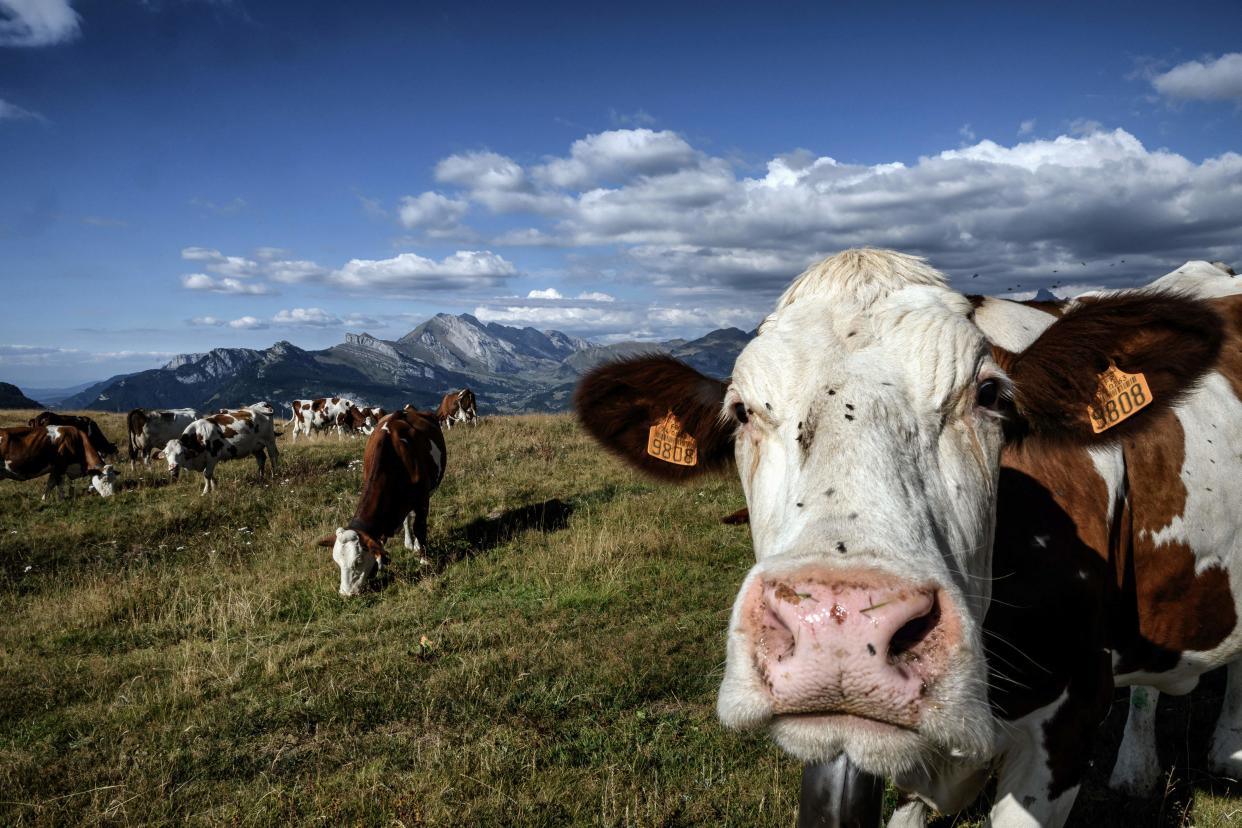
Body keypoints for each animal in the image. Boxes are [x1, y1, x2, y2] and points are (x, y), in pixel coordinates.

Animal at [315, 407, 447, 595]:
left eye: (358, 560)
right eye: (337, 562)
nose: (346, 593)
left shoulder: (422, 498)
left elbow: (420, 528)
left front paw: (424, 560)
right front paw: (381, 563)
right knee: (407, 518)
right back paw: (408, 542)